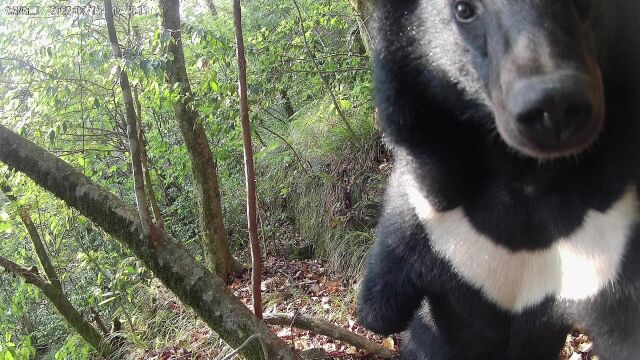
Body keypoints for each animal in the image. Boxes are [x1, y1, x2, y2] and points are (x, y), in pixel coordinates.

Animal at [358, 0, 640, 360]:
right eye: (464, 10)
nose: (554, 106)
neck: (524, 176)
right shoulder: (427, 221)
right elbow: (379, 309)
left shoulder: (609, 242)